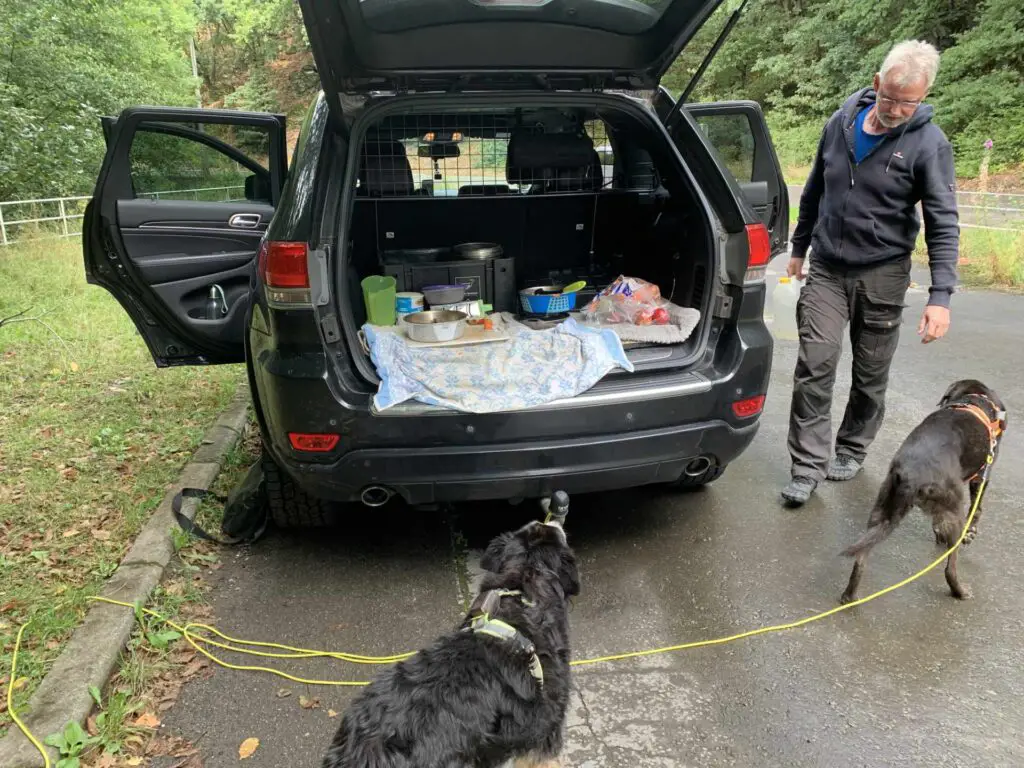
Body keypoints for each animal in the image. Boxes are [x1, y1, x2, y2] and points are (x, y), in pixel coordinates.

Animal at [843, 380, 1003, 606]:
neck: (972, 399)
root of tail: (912, 473)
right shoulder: (981, 476)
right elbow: (977, 509)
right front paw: (971, 532)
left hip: (881, 509)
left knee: (860, 558)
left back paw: (850, 596)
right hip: (954, 511)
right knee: (950, 569)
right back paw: (961, 591)